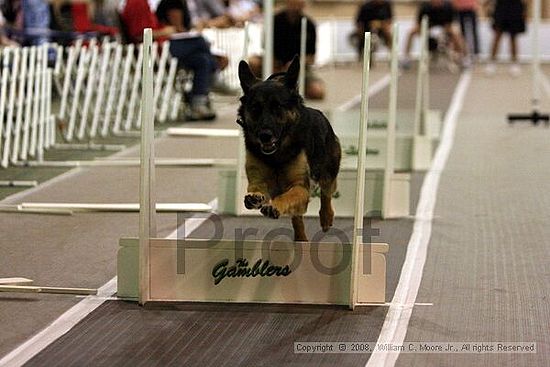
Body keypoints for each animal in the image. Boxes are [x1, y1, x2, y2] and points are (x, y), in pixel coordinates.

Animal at [239, 56, 342, 243]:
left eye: (277, 107)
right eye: (256, 108)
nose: (265, 136)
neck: (276, 156)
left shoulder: (300, 187)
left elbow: (288, 196)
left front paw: (275, 206)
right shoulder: (258, 179)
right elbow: (257, 189)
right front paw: (254, 197)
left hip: (327, 171)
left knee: (326, 193)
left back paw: (326, 218)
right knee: (297, 217)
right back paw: (300, 238)